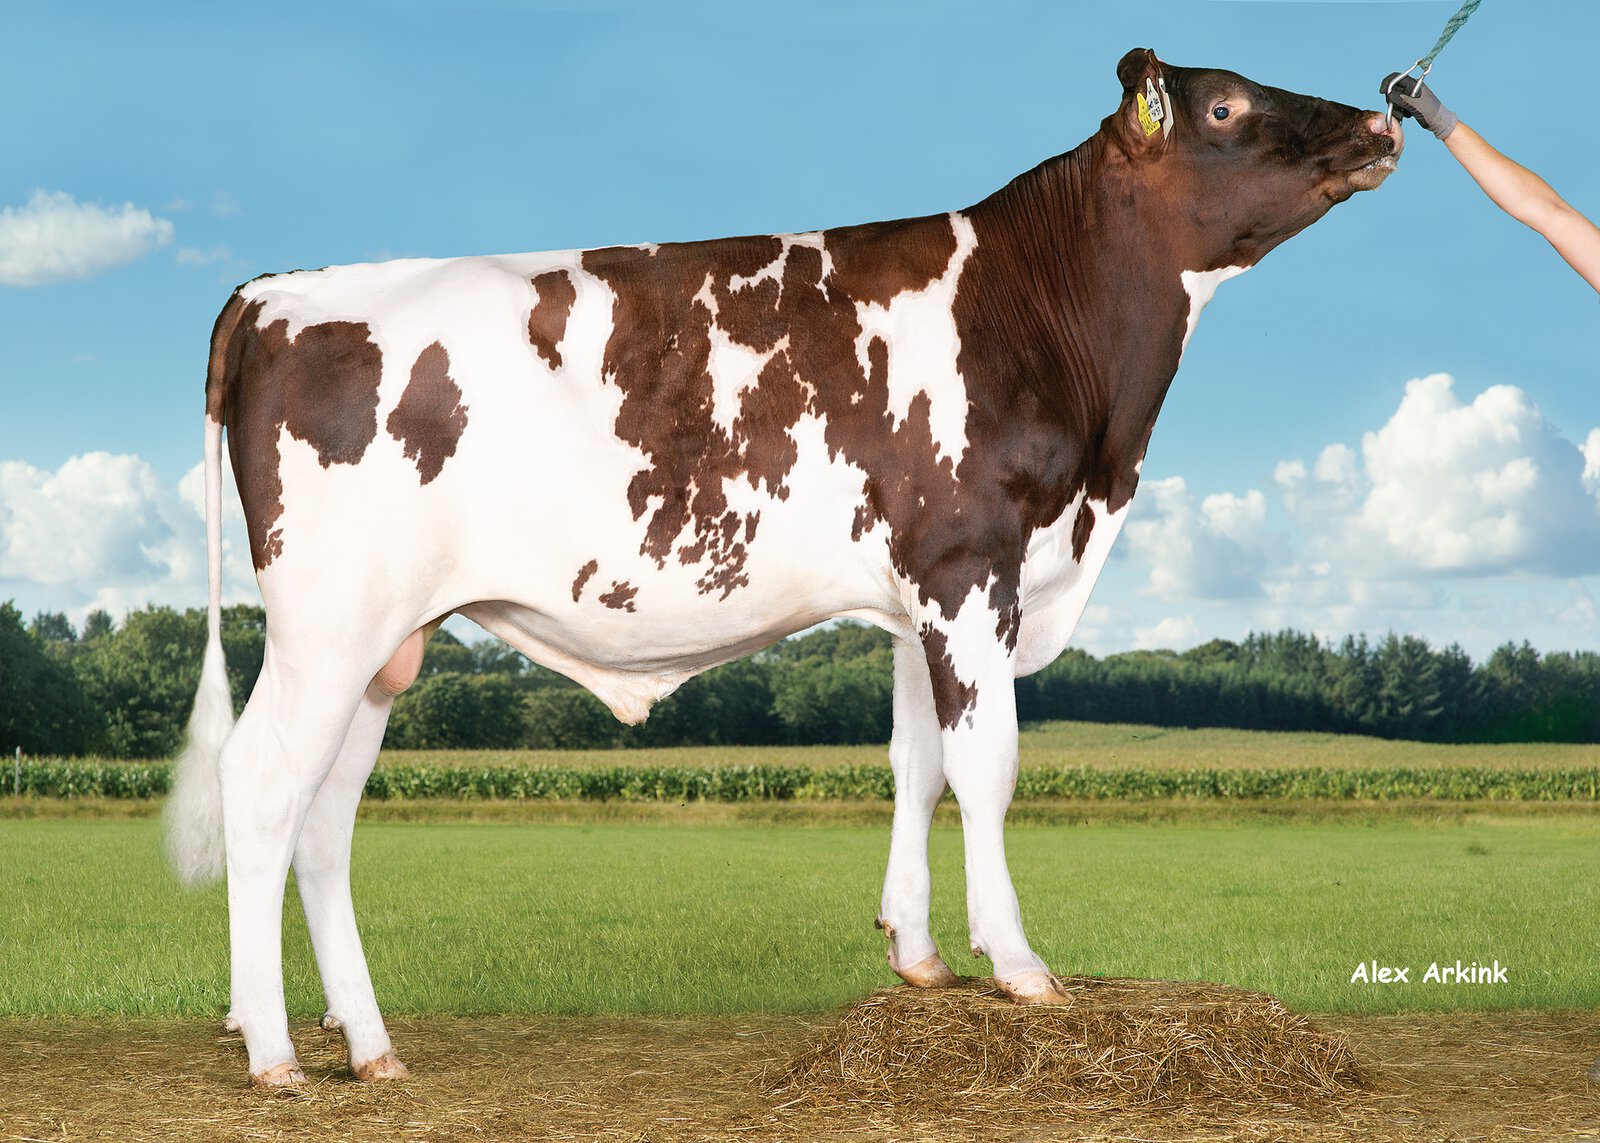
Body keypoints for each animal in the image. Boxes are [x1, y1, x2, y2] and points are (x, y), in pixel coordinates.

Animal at [168, 48, 1402, 1087]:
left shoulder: (917, 595)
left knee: (323, 821)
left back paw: (371, 1047)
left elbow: (917, 765)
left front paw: (917, 953)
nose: (1384, 117)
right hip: (327, 621)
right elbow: (987, 766)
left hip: (386, 642)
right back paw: (274, 1051)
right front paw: (1017, 965)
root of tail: (277, 288)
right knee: (262, 784)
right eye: (1226, 106)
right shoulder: (970, 565)